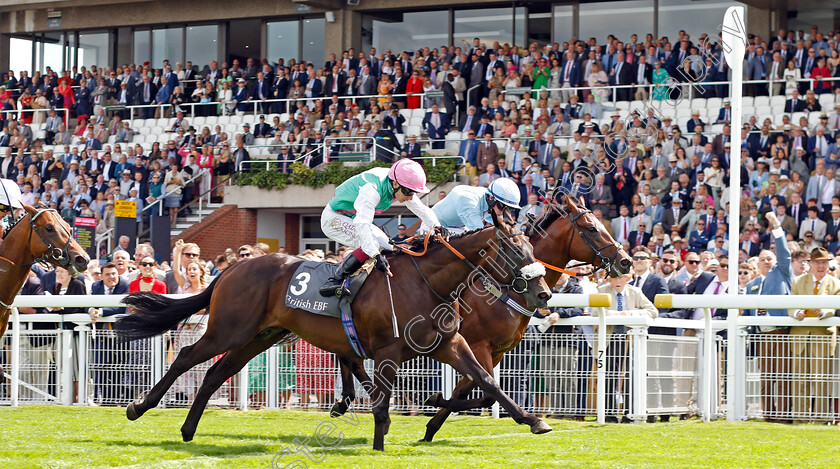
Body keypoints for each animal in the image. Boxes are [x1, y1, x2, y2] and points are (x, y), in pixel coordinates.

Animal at [115, 212, 556, 450]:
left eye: (533, 249)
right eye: (514, 251)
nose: (544, 293)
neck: (425, 282)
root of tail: (232, 268)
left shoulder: (453, 343)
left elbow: (486, 381)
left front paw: (534, 420)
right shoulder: (387, 352)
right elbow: (381, 404)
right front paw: (379, 445)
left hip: (259, 337)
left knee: (214, 373)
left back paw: (188, 429)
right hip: (228, 329)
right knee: (186, 357)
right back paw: (138, 407)